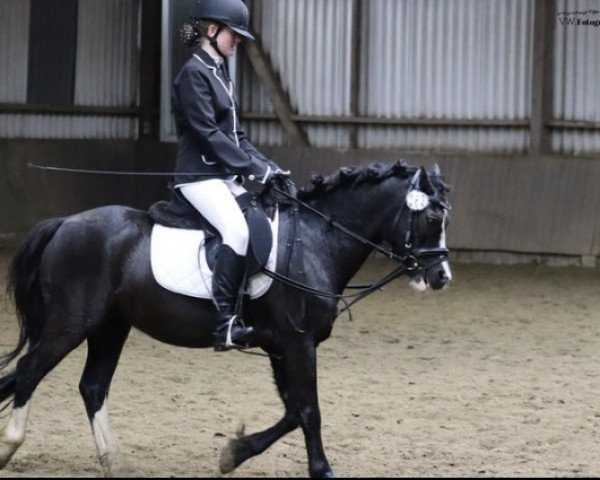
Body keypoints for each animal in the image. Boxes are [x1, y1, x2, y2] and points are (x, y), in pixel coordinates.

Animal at [0, 161, 450, 476]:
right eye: (431, 219)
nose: (442, 277)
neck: (315, 242)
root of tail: (64, 223)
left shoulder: (280, 346)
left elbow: (292, 412)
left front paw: (233, 453)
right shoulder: (297, 343)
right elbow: (309, 411)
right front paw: (322, 470)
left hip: (110, 327)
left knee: (91, 387)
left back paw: (114, 462)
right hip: (71, 322)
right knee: (30, 370)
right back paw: (11, 444)